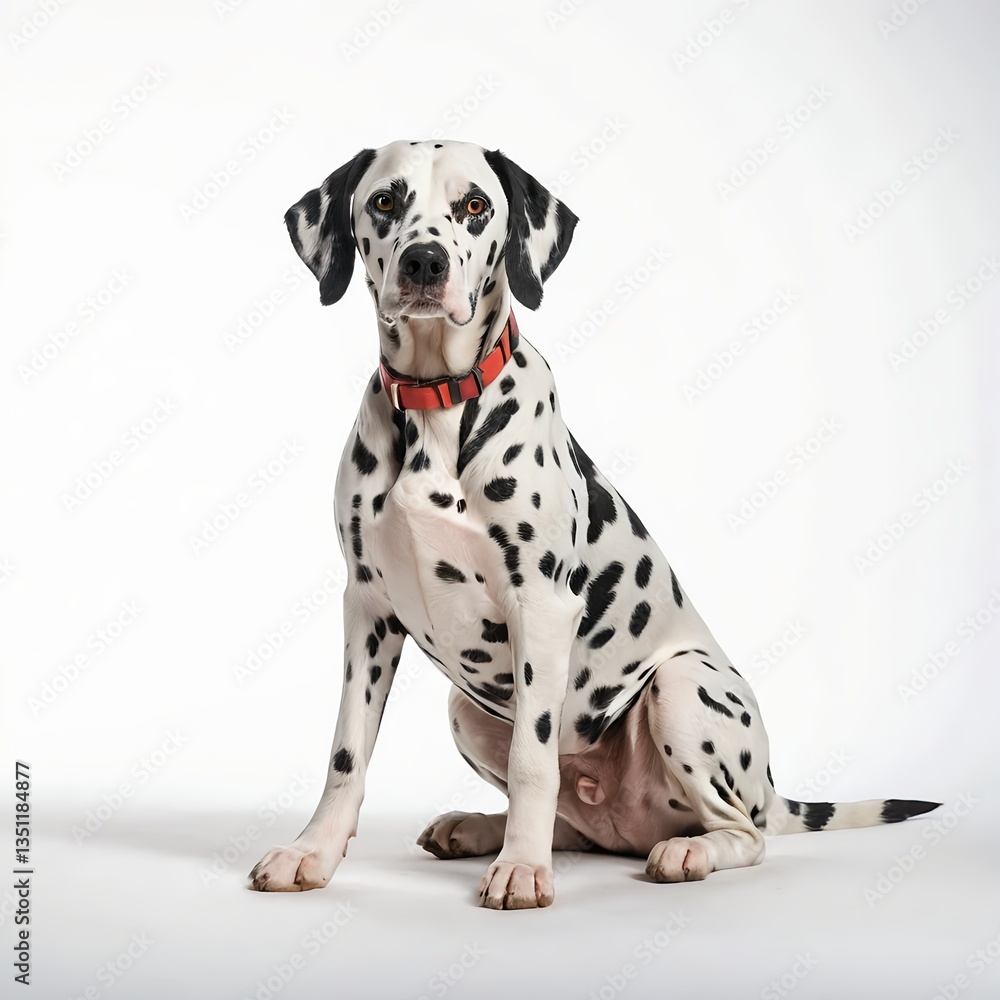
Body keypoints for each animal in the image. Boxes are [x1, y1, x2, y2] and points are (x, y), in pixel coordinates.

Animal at [249, 140, 939, 908]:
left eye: (474, 205)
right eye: (384, 201)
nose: (424, 263)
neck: (437, 403)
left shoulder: (541, 606)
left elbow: (534, 759)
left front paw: (521, 870)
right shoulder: (367, 608)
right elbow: (347, 752)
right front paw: (312, 852)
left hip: (682, 686)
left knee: (744, 833)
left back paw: (685, 851)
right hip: (467, 709)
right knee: (571, 825)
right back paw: (479, 828)